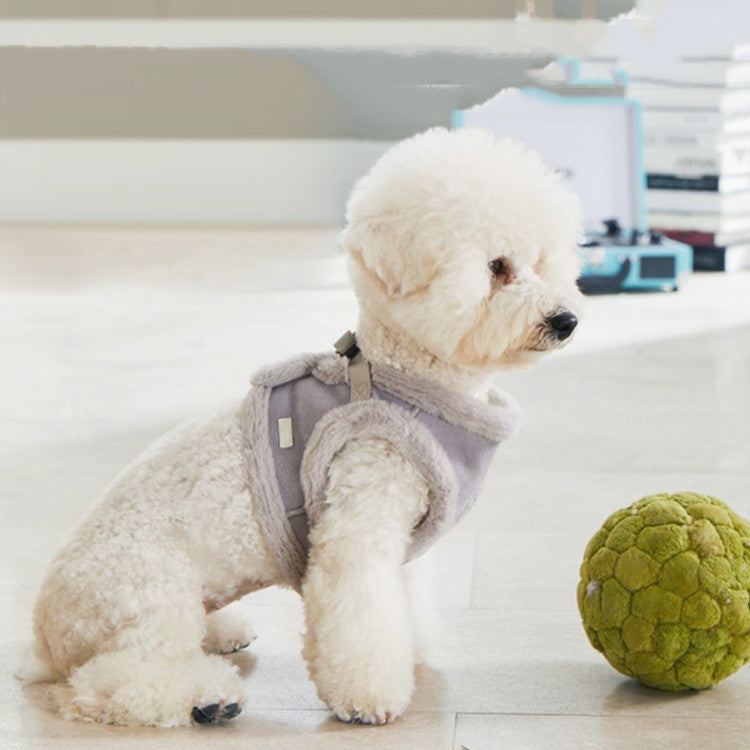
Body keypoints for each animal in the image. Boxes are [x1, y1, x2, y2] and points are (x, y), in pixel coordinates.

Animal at [23, 128, 584, 728]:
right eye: (497, 267)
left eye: (541, 261)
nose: (566, 320)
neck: (406, 376)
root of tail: (43, 637)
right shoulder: (357, 525)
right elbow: (361, 620)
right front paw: (368, 697)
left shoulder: (402, 539)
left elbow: (404, 603)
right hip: (147, 598)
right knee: (111, 681)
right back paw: (204, 697)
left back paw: (222, 633)